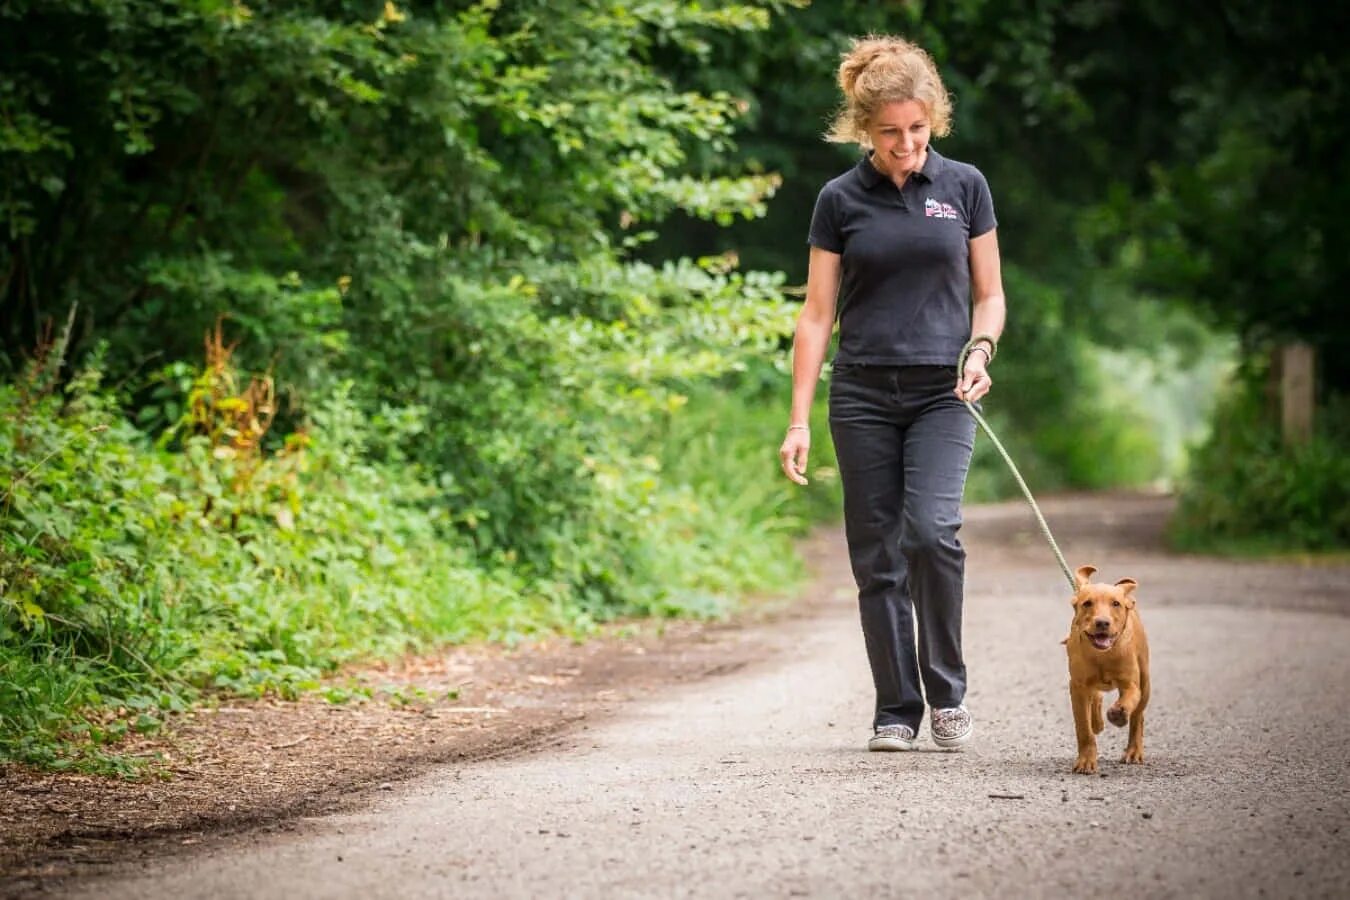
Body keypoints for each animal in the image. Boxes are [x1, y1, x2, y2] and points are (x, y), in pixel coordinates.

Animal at [1063, 564, 1150, 777]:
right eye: (1087, 603)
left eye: (1116, 604)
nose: (1102, 622)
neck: (1102, 655)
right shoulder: (1077, 687)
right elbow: (1084, 729)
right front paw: (1086, 761)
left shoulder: (1131, 684)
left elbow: (1129, 699)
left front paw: (1118, 713)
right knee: (1097, 697)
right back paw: (1097, 722)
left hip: (1146, 683)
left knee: (1138, 716)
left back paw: (1133, 751)